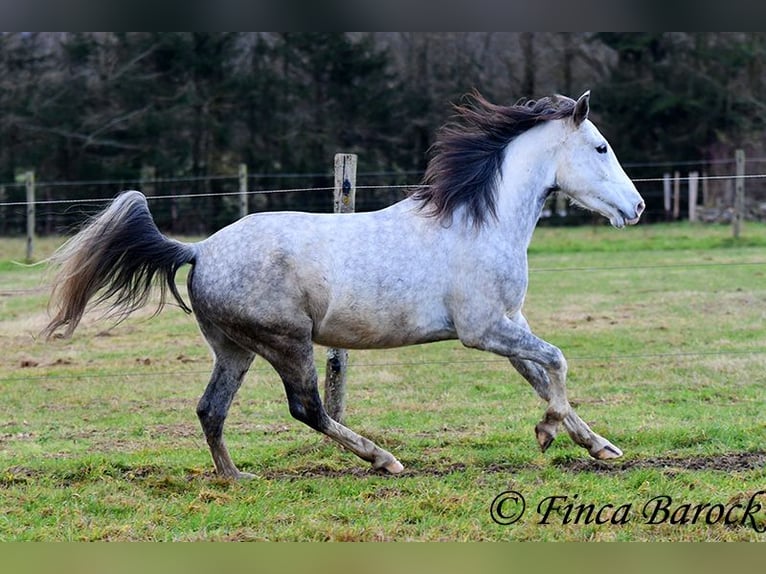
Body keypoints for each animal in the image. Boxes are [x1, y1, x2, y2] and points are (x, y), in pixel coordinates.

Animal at [45, 92, 644, 480]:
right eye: (600, 148)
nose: (636, 207)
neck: (478, 222)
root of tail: (199, 250)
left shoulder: (509, 322)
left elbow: (542, 377)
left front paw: (598, 446)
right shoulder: (484, 330)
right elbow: (558, 363)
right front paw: (548, 433)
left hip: (234, 349)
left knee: (211, 410)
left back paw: (236, 478)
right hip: (286, 342)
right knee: (307, 408)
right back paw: (384, 459)